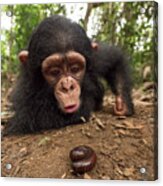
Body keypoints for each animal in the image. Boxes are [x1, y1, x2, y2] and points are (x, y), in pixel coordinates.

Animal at [5, 14, 134, 134]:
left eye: (75, 69)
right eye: (55, 72)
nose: (67, 86)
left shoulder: (96, 58)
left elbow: (115, 60)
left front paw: (122, 104)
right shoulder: (25, 95)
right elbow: (37, 118)